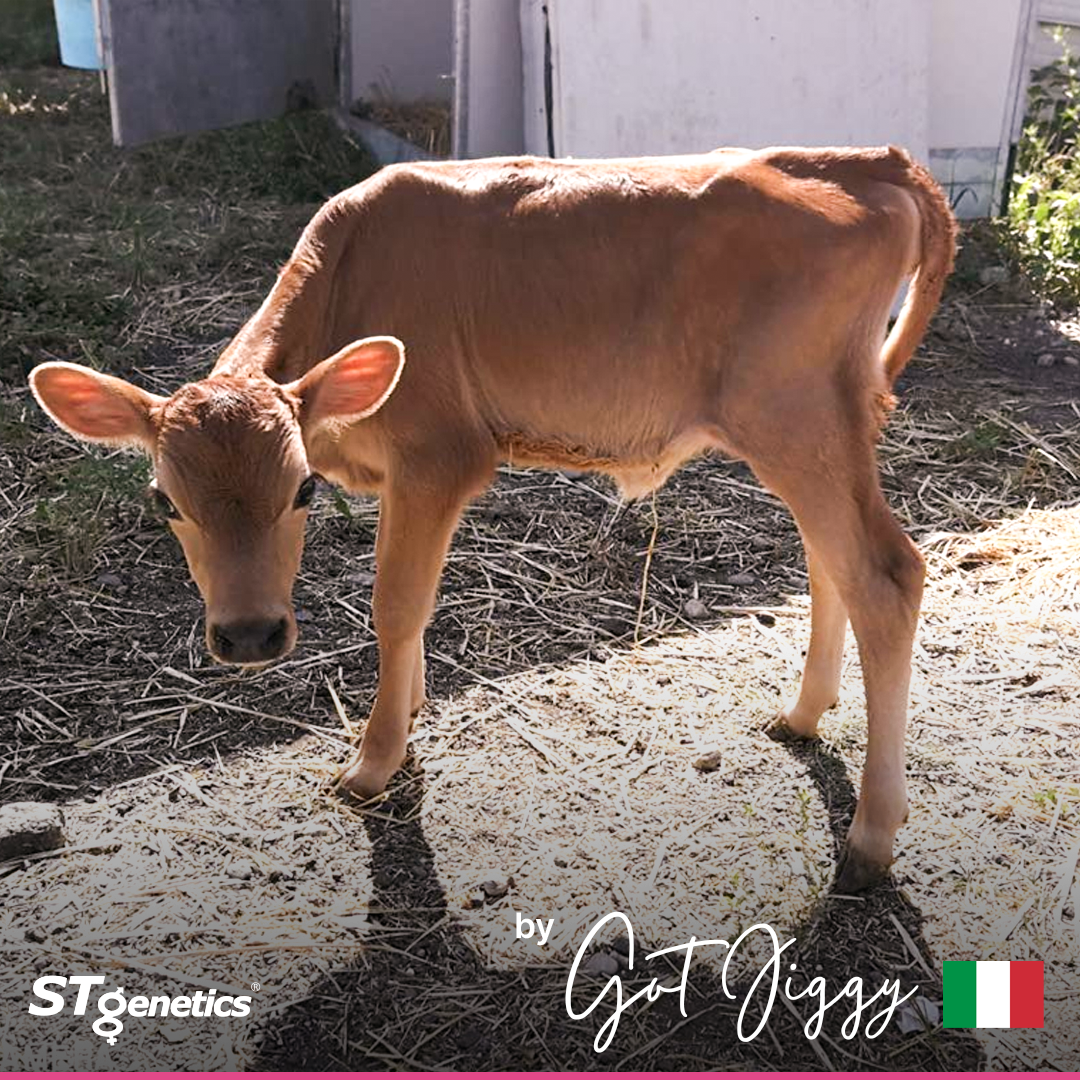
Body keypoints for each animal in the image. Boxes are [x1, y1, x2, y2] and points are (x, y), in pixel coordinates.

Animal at [30, 146, 955, 892]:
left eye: (301, 492)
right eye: (165, 502)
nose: (251, 635)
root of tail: (865, 159)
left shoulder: (439, 457)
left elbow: (396, 605)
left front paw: (372, 763)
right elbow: (412, 608)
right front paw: (406, 714)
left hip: (795, 417)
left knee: (885, 576)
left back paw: (871, 838)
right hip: (811, 429)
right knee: (829, 559)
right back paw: (802, 715)